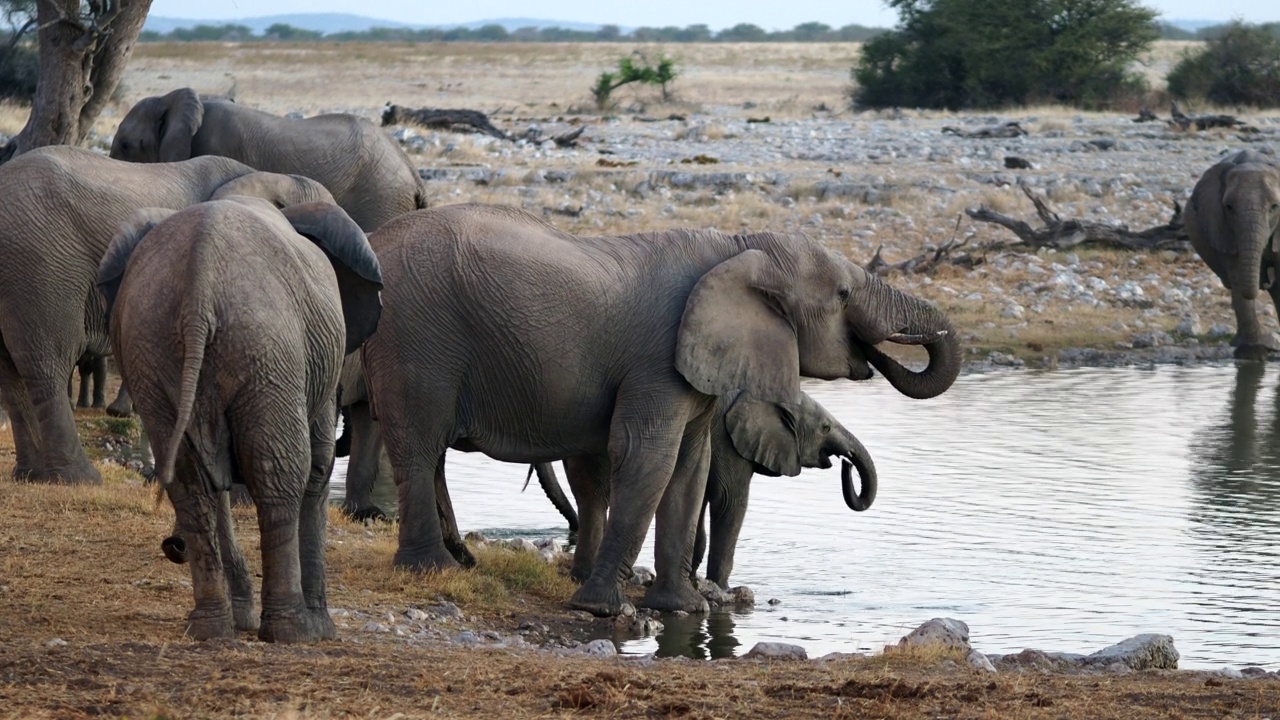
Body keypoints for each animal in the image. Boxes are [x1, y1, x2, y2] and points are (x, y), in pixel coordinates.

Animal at [0, 144, 335, 481]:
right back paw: (81, 479)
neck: (274, 177)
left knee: (13, 377)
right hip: (43, 266)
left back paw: (30, 475)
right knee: (50, 362)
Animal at [97, 189, 381, 638]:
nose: (171, 546)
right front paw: (323, 629)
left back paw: (209, 628)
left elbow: (218, 482)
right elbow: (318, 465)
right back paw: (292, 631)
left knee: (189, 482)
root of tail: (199, 283)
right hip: (267, 348)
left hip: (154, 347)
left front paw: (242, 618)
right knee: (279, 474)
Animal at [360, 199, 962, 609]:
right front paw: (602, 609)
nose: (848, 480)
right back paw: (432, 571)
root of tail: (375, 242)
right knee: (419, 442)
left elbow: (689, 470)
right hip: (417, 332)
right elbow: (648, 458)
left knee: (428, 450)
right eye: (842, 295)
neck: (738, 248)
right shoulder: (656, 360)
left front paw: (681, 608)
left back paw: (461, 560)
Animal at [1177, 148, 1280, 358]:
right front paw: (1253, 355)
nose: (1265, 279)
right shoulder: (1221, 226)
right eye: (1229, 208)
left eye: (1275, 207)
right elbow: (1238, 278)